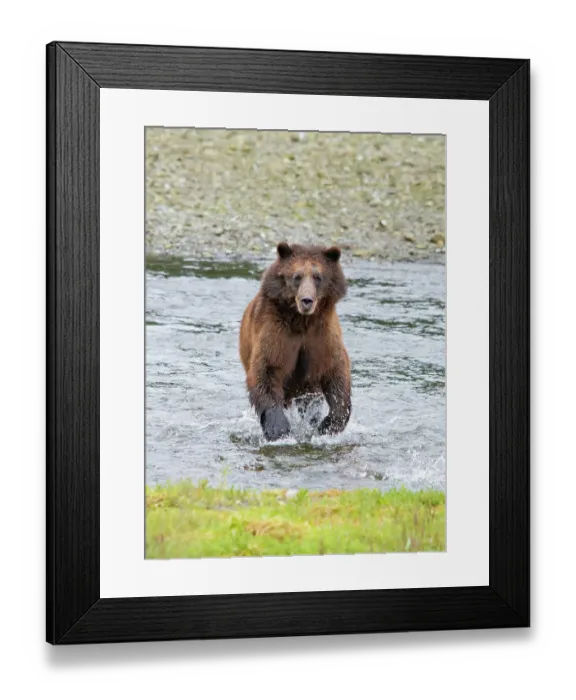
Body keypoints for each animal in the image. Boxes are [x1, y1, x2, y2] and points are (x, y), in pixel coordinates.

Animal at [239, 241, 352, 441]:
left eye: (317, 276)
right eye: (297, 276)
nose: (307, 300)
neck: (302, 320)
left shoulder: (322, 336)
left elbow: (336, 370)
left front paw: (328, 425)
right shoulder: (276, 332)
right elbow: (267, 369)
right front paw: (278, 428)